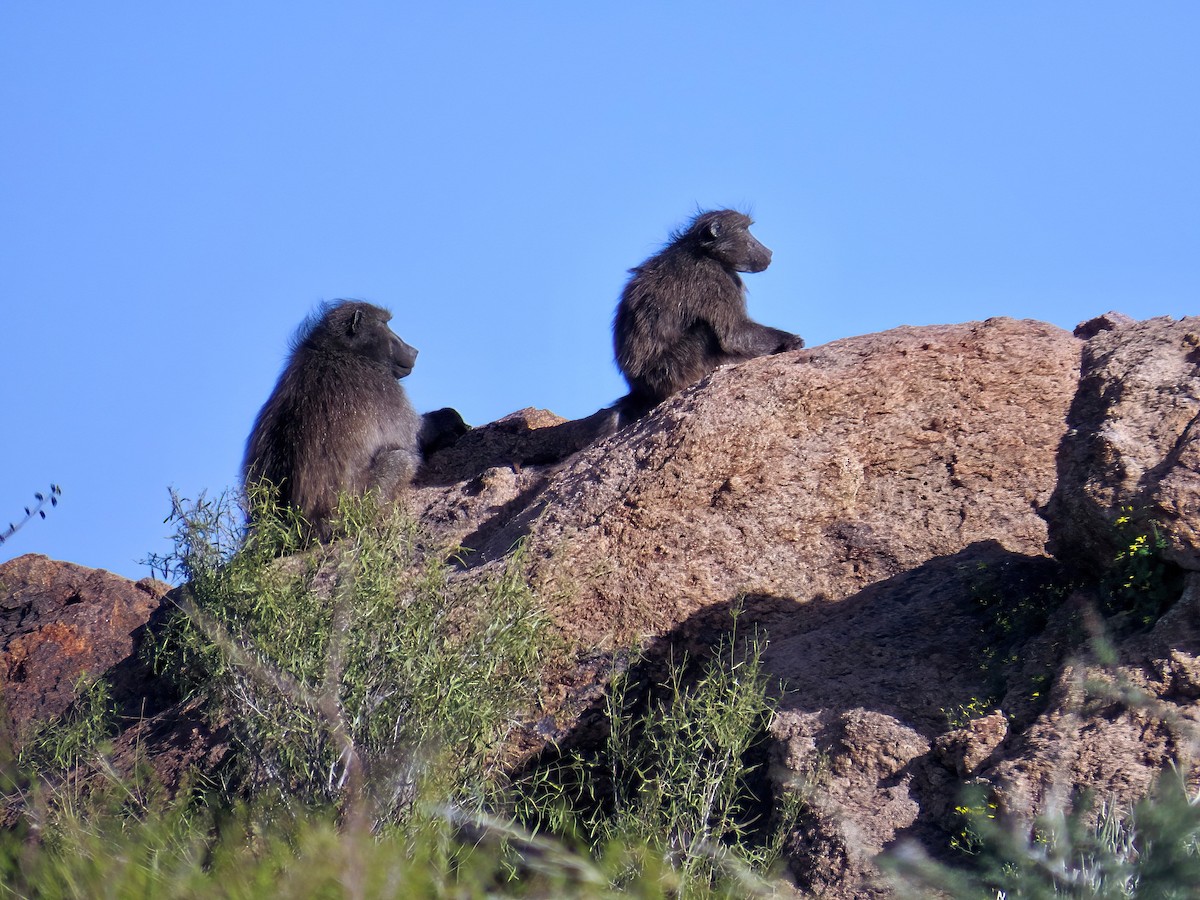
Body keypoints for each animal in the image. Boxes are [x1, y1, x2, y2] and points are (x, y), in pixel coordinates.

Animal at [242, 300, 466, 539]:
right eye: (384, 324)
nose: (413, 350)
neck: (336, 350)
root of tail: (301, 526)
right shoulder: (381, 383)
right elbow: (415, 436)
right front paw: (450, 420)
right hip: (356, 507)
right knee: (401, 459)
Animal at [613, 209, 804, 422]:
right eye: (744, 230)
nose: (769, 252)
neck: (703, 251)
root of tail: (639, 388)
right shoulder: (714, 278)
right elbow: (735, 334)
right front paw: (791, 341)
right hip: (674, 370)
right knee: (704, 331)